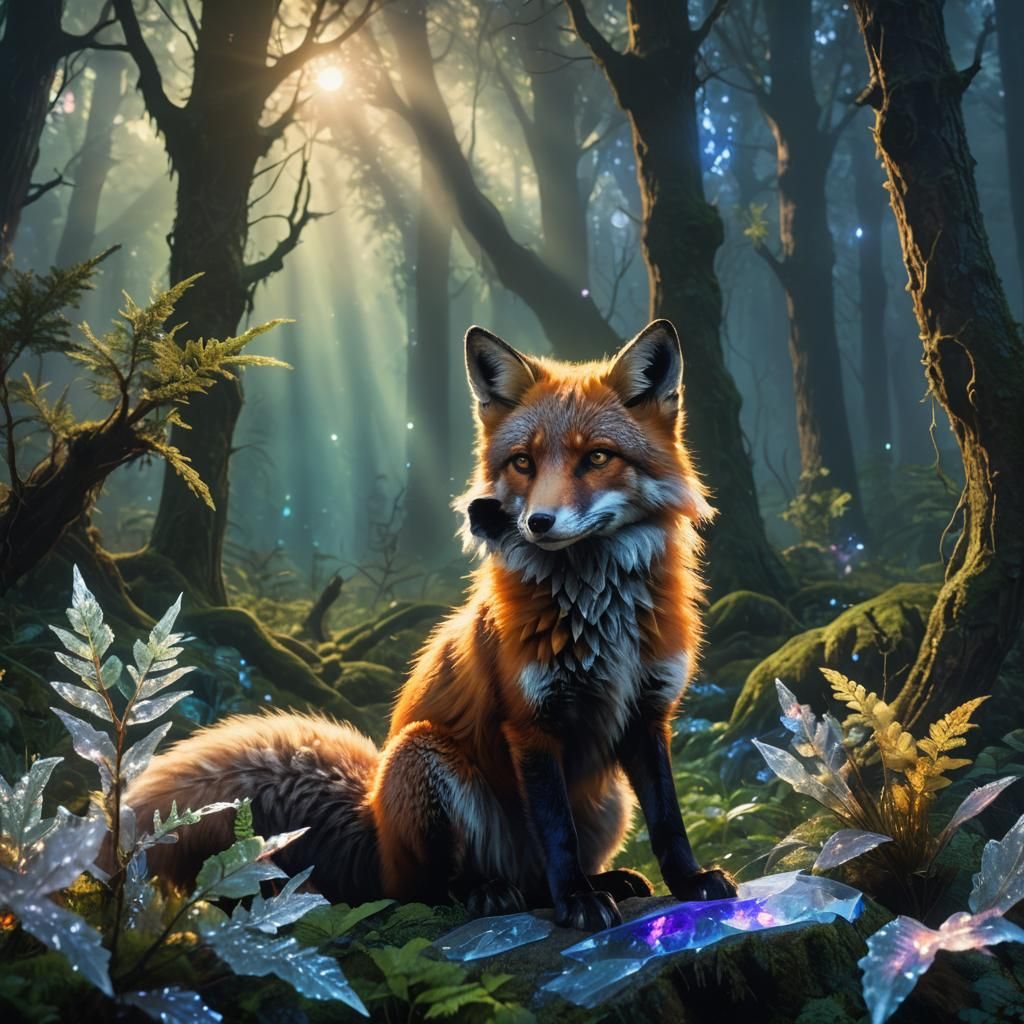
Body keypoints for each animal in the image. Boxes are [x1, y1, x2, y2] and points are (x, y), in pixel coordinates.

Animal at [125, 319, 738, 930]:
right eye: (523, 462)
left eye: (597, 458)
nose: (538, 523)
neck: (600, 617)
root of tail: (372, 825)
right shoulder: (530, 723)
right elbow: (556, 833)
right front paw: (577, 902)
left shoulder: (648, 713)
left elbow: (669, 820)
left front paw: (688, 881)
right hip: (422, 757)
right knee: (428, 891)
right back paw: (490, 892)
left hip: (610, 801)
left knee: (533, 881)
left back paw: (603, 879)